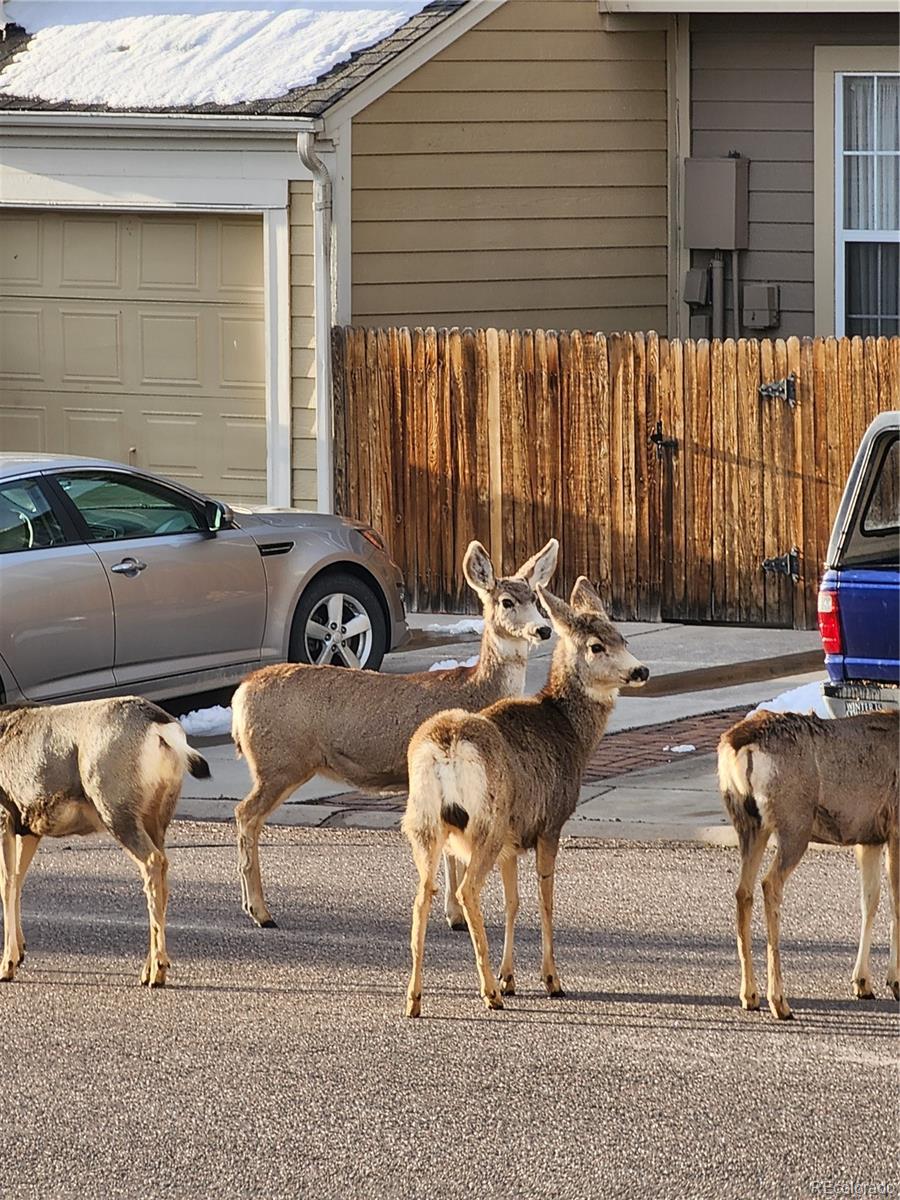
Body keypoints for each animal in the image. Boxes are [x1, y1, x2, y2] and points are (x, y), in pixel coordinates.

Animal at [232, 537, 556, 926]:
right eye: (507, 602)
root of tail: (240, 692)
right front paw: (456, 916)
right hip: (280, 762)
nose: (543, 630)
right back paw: (261, 911)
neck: (476, 691)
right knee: (246, 815)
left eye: (535, 599)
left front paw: (454, 913)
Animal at [400, 576, 648, 1017]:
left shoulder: (513, 841)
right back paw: (488, 994)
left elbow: (512, 902)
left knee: (421, 897)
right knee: (466, 891)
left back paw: (414, 999)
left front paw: (510, 977)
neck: (570, 732)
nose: (641, 670)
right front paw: (549, 980)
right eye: (596, 646)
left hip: (423, 823)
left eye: (622, 637)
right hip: (486, 822)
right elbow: (546, 899)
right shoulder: (549, 823)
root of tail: (447, 743)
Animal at [720, 705, 900, 1027]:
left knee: (743, 891)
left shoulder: (868, 838)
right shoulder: (896, 826)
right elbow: (896, 904)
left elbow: (870, 901)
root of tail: (739, 744)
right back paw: (779, 1002)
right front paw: (896, 982)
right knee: (770, 884)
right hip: (794, 822)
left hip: (749, 823)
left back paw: (749, 996)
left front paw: (862, 983)